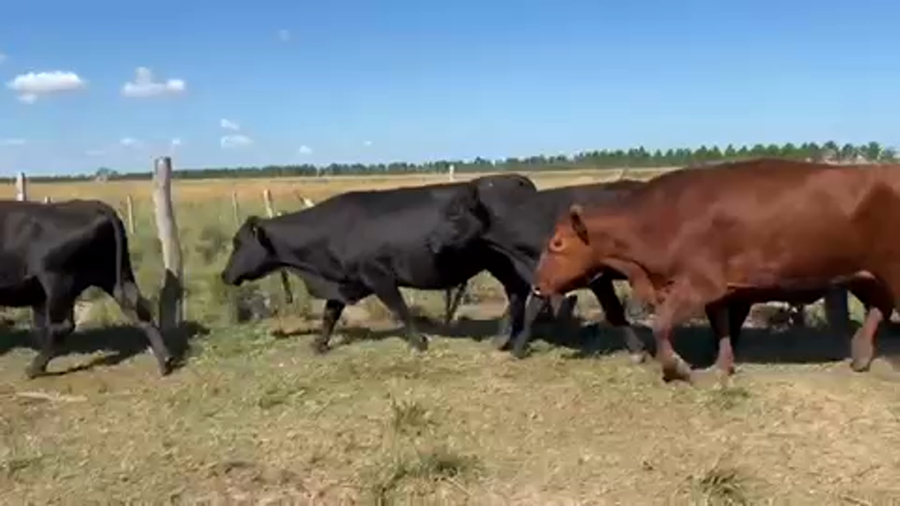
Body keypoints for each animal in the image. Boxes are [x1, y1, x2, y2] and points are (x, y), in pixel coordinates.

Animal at [0, 199, 173, 378]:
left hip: (58, 281)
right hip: (116, 276)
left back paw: (33, 369)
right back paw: (165, 361)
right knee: (139, 309)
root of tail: (94, 205)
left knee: (61, 326)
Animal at [220, 174, 538, 353]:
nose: (224, 274)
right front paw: (319, 344)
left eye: (238, 243)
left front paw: (419, 342)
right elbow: (329, 315)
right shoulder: (346, 281)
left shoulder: (378, 275)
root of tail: (516, 180)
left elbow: (399, 308)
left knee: (519, 291)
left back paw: (506, 338)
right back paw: (507, 337)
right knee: (518, 292)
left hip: (504, 261)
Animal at [530, 157, 898, 383]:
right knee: (879, 308)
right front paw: (722, 367)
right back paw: (860, 356)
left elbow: (661, 325)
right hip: (864, 276)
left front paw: (678, 368)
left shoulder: (696, 285)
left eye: (557, 243)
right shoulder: (719, 291)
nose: (536, 285)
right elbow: (721, 326)